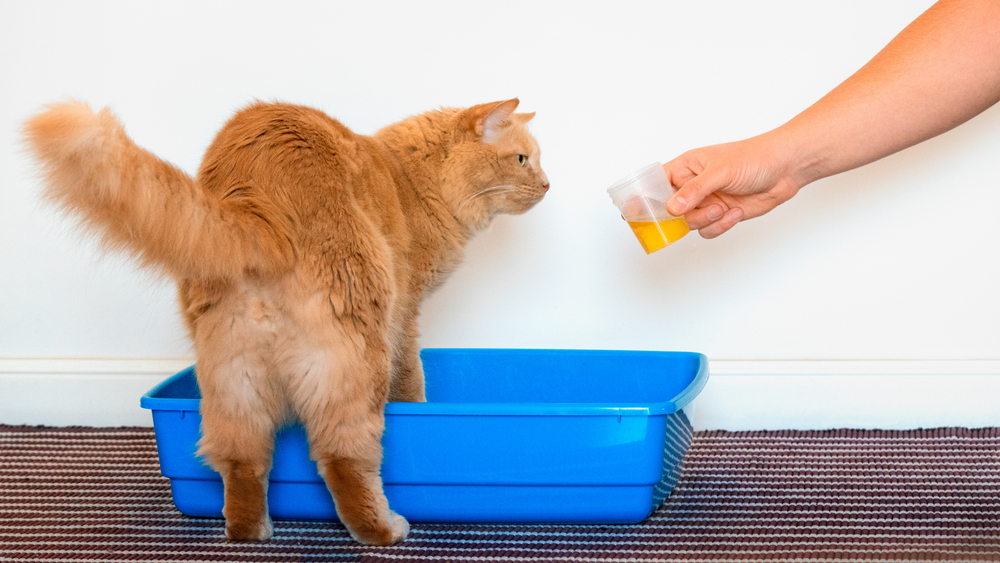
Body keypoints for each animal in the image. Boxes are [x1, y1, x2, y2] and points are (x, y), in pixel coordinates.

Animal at [23, 98, 552, 548]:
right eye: (523, 159)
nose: (548, 184)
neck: (413, 181)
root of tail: (255, 201)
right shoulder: (405, 318)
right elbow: (413, 383)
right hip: (358, 352)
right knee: (342, 458)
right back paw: (385, 529)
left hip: (232, 373)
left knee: (240, 459)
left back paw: (250, 531)